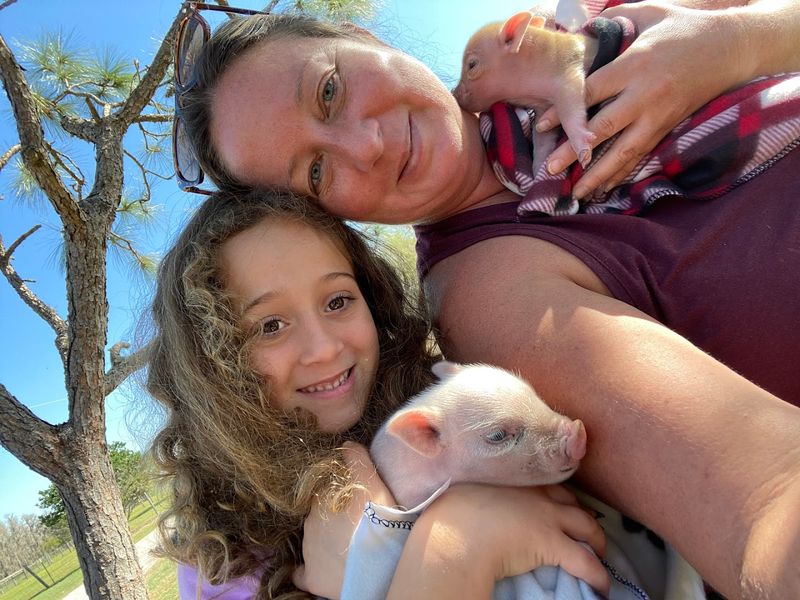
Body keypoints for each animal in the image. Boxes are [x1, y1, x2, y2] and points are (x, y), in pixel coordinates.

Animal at [453, 10, 599, 171]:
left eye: (472, 64)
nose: (453, 92)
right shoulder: (543, 111)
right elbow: (542, 139)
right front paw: (538, 171)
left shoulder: (568, 78)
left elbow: (570, 113)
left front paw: (584, 155)